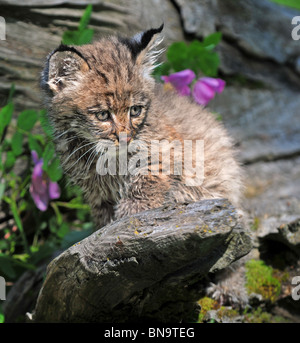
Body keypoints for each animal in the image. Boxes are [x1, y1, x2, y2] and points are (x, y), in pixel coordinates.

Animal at [41, 25, 248, 306]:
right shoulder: (95, 191)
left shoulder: (169, 154)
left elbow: (145, 185)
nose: (126, 137)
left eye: (135, 110)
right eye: (102, 115)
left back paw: (230, 287)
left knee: (243, 240)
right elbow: (103, 218)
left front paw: (131, 219)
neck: (108, 155)